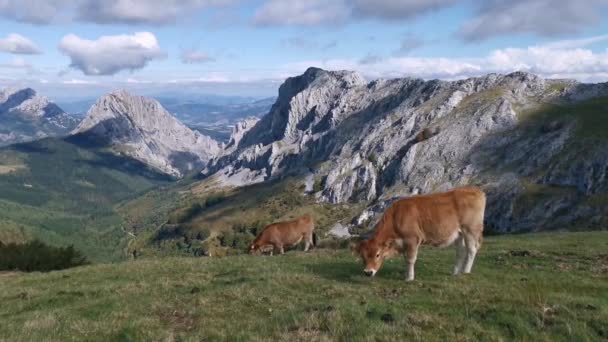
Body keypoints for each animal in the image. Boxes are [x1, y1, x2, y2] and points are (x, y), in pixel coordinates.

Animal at [352, 187, 484, 280]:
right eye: (362, 256)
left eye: (377, 254)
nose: (368, 272)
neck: (396, 216)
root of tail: (475, 190)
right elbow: (406, 258)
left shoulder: (412, 239)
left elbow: (410, 259)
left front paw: (409, 278)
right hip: (459, 233)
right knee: (460, 252)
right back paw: (455, 272)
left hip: (471, 229)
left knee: (472, 249)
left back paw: (466, 271)